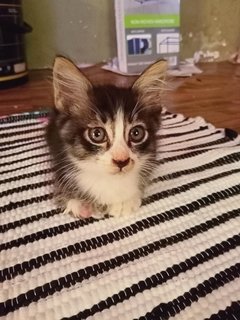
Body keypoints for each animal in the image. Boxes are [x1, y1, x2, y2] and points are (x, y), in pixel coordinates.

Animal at [46, 57, 167, 218]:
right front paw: (76, 202)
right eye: (97, 134)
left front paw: (125, 200)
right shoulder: (59, 155)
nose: (121, 161)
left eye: (136, 133)